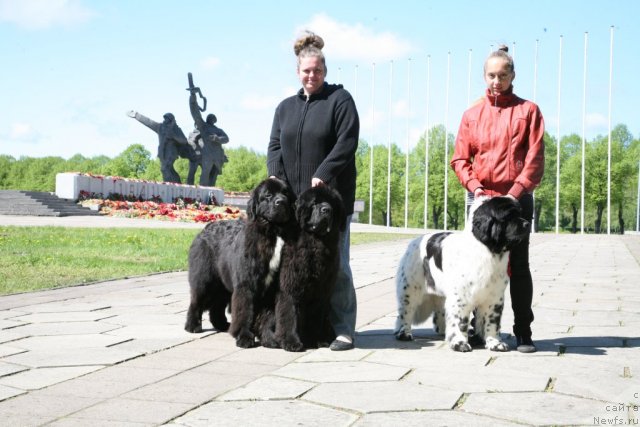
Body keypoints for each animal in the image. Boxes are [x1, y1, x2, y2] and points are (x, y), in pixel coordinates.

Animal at [184, 177, 296, 348]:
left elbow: (268, 316)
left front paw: (268, 338)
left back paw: (223, 325)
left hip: (222, 285)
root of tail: (205, 228)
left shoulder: (272, 288)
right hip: (205, 279)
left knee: (217, 306)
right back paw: (192, 326)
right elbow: (245, 312)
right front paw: (244, 337)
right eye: (268, 195)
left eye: (286, 193)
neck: (272, 232)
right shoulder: (246, 284)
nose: (281, 201)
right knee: (196, 300)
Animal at [254, 186, 344, 352]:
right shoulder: (291, 286)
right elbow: (289, 315)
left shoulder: (322, 291)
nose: (327, 209)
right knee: (264, 322)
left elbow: (317, 316)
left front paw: (317, 340)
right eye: (314, 203)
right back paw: (271, 340)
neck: (316, 241)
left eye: (332, 204)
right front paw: (291, 342)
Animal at [396, 196, 528, 352]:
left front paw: (495, 343)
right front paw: (460, 343)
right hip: (410, 288)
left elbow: (492, 322)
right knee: (406, 311)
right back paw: (404, 333)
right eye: (508, 216)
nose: (527, 223)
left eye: (520, 213)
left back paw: (443, 332)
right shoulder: (461, 297)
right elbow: (460, 321)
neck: (488, 251)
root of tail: (414, 241)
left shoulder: (495, 297)